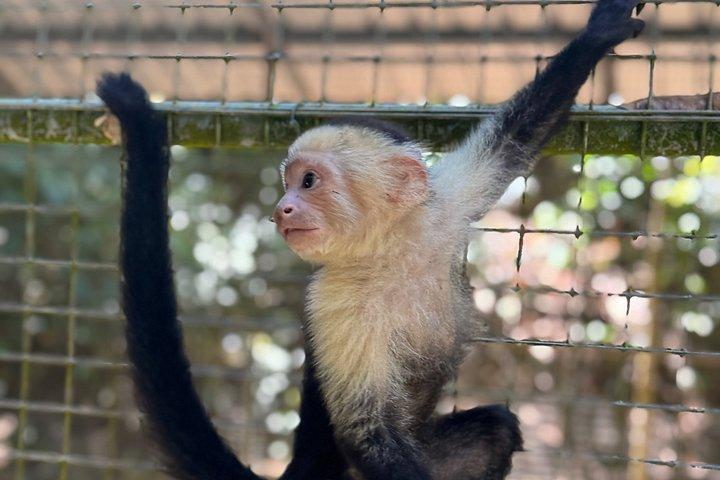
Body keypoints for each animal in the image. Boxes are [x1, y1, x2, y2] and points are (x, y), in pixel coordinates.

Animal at [96, 0, 643, 478]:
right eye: (286, 184)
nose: (281, 209)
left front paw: (596, 36)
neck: (388, 255)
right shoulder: (332, 298)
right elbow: (367, 430)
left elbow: (516, 136)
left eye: (307, 182)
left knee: (496, 430)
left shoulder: (441, 213)